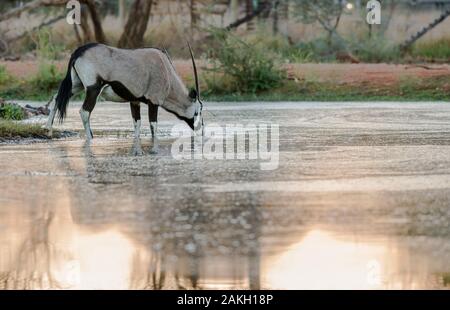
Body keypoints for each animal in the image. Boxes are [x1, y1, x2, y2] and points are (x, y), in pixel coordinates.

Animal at [46, 43, 205, 154]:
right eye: (197, 111)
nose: (200, 129)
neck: (167, 74)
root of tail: (79, 51)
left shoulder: (134, 101)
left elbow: (137, 123)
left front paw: (137, 149)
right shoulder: (153, 102)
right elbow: (153, 124)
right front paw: (154, 150)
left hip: (76, 85)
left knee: (57, 98)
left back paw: (48, 129)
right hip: (93, 89)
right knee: (84, 111)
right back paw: (91, 138)